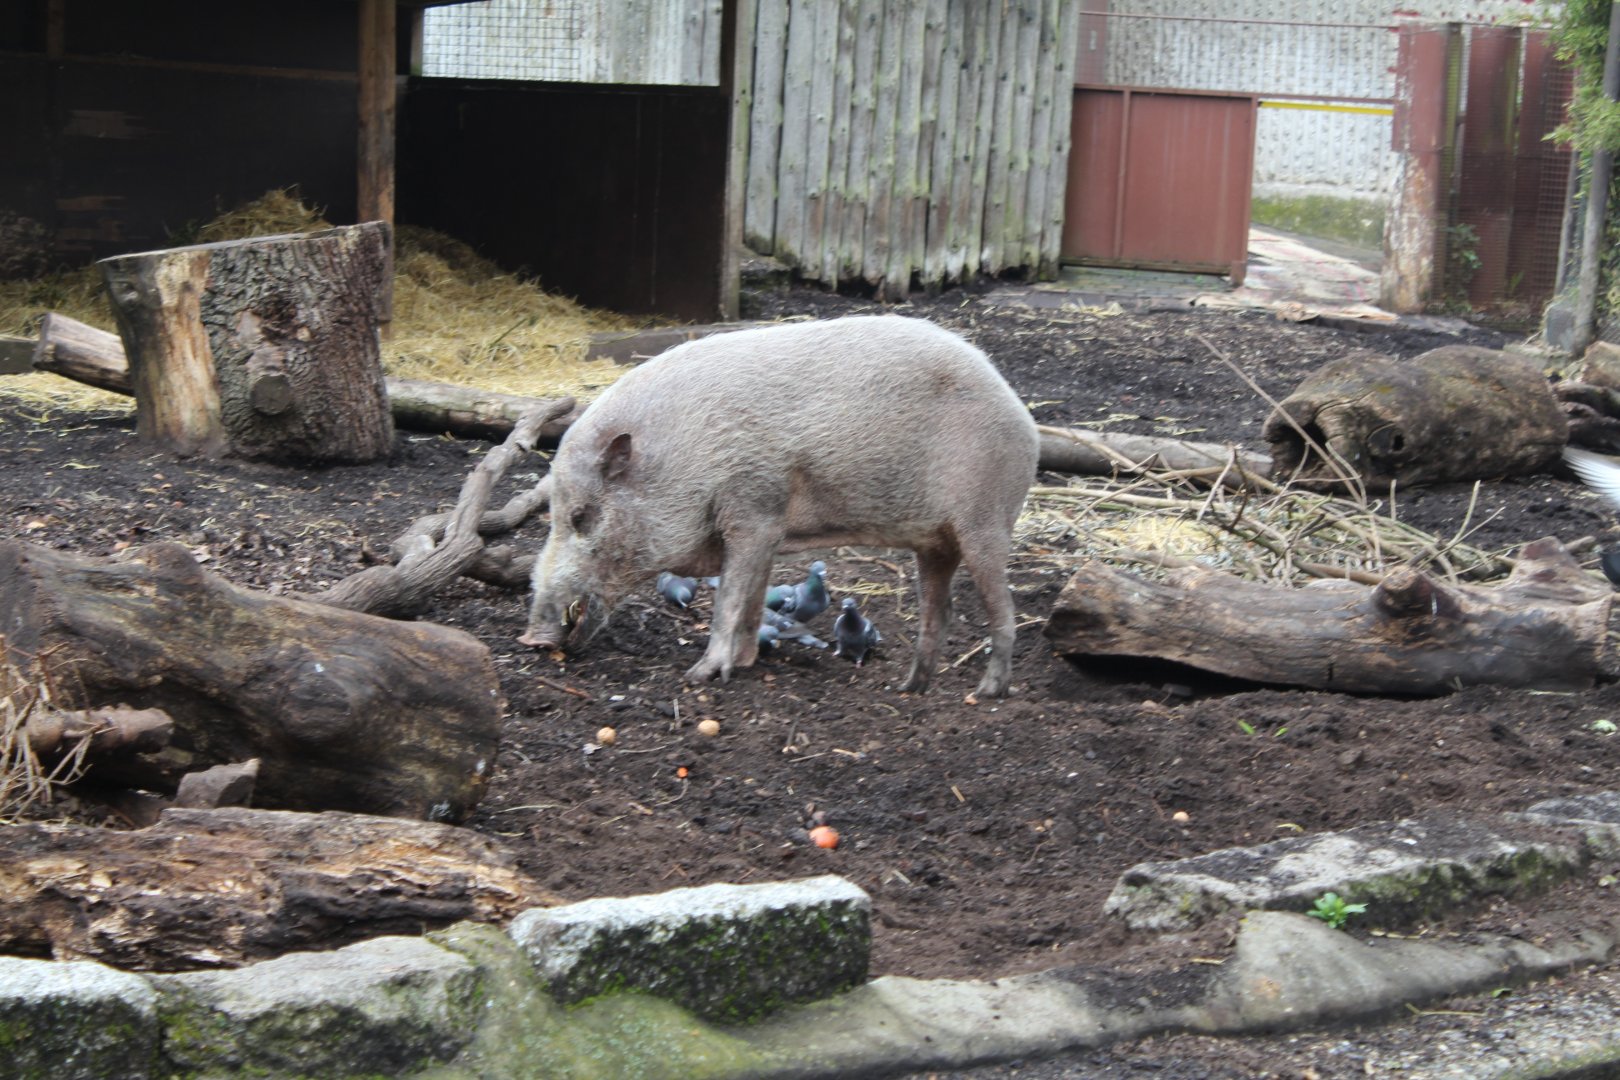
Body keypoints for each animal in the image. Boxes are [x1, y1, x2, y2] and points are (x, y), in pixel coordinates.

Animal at [519, 315, 1040, 697]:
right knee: (940, 610)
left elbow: (728, 600)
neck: (685, 458)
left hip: (986, 520)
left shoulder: (752, 510)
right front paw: (745, 663)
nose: (532, 637)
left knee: (1003, 610)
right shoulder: (769, 531)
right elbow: (751, 600)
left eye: (580, 516)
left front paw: (700, 676)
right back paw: (908, 688)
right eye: (552, 514)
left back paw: (987, 692)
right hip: (935, 543)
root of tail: (1021, 413)